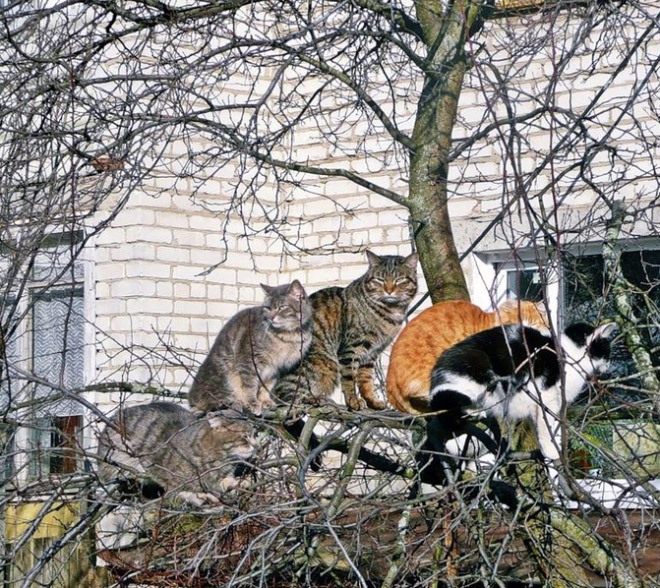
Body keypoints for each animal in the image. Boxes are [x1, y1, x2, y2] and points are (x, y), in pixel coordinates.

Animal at [96, 402, 256, 508]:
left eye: (254, 434)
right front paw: (198, 496)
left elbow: (227, 480)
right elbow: (178, 490)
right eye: (244, 437)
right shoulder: (164, 471)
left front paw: (239, 482)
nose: (256, 445)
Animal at [188, 280, 312, 414]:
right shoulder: (249, 362)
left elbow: (266, 387)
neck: (289, 336)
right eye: (268, 308)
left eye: (281, 307)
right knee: (215, 402)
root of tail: (191, 400)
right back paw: (235, 403)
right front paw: (253, 403)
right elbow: (250, 385)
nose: (271, 318)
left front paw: (265, 401)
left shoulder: (274, 369)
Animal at [270, 250, 416, 412]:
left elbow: (366, 380)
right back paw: (312, 399)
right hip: (323, 364)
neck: (390, 312)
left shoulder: (371, 353)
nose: (389, 290)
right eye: (379, 279)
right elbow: (349, 378)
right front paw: (353, 400)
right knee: (285, 397)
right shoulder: (351, 349)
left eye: (400, 279)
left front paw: (372, 401)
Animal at [426, 324, 616, 462]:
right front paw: (552, 451)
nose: (610, 366)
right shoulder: (546, 397)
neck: (570, 355)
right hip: (478, 368)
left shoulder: (538, 405)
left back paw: (474, 411)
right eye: (607, 353)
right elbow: (546, 429)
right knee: (444, 402)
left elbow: (540, 426)